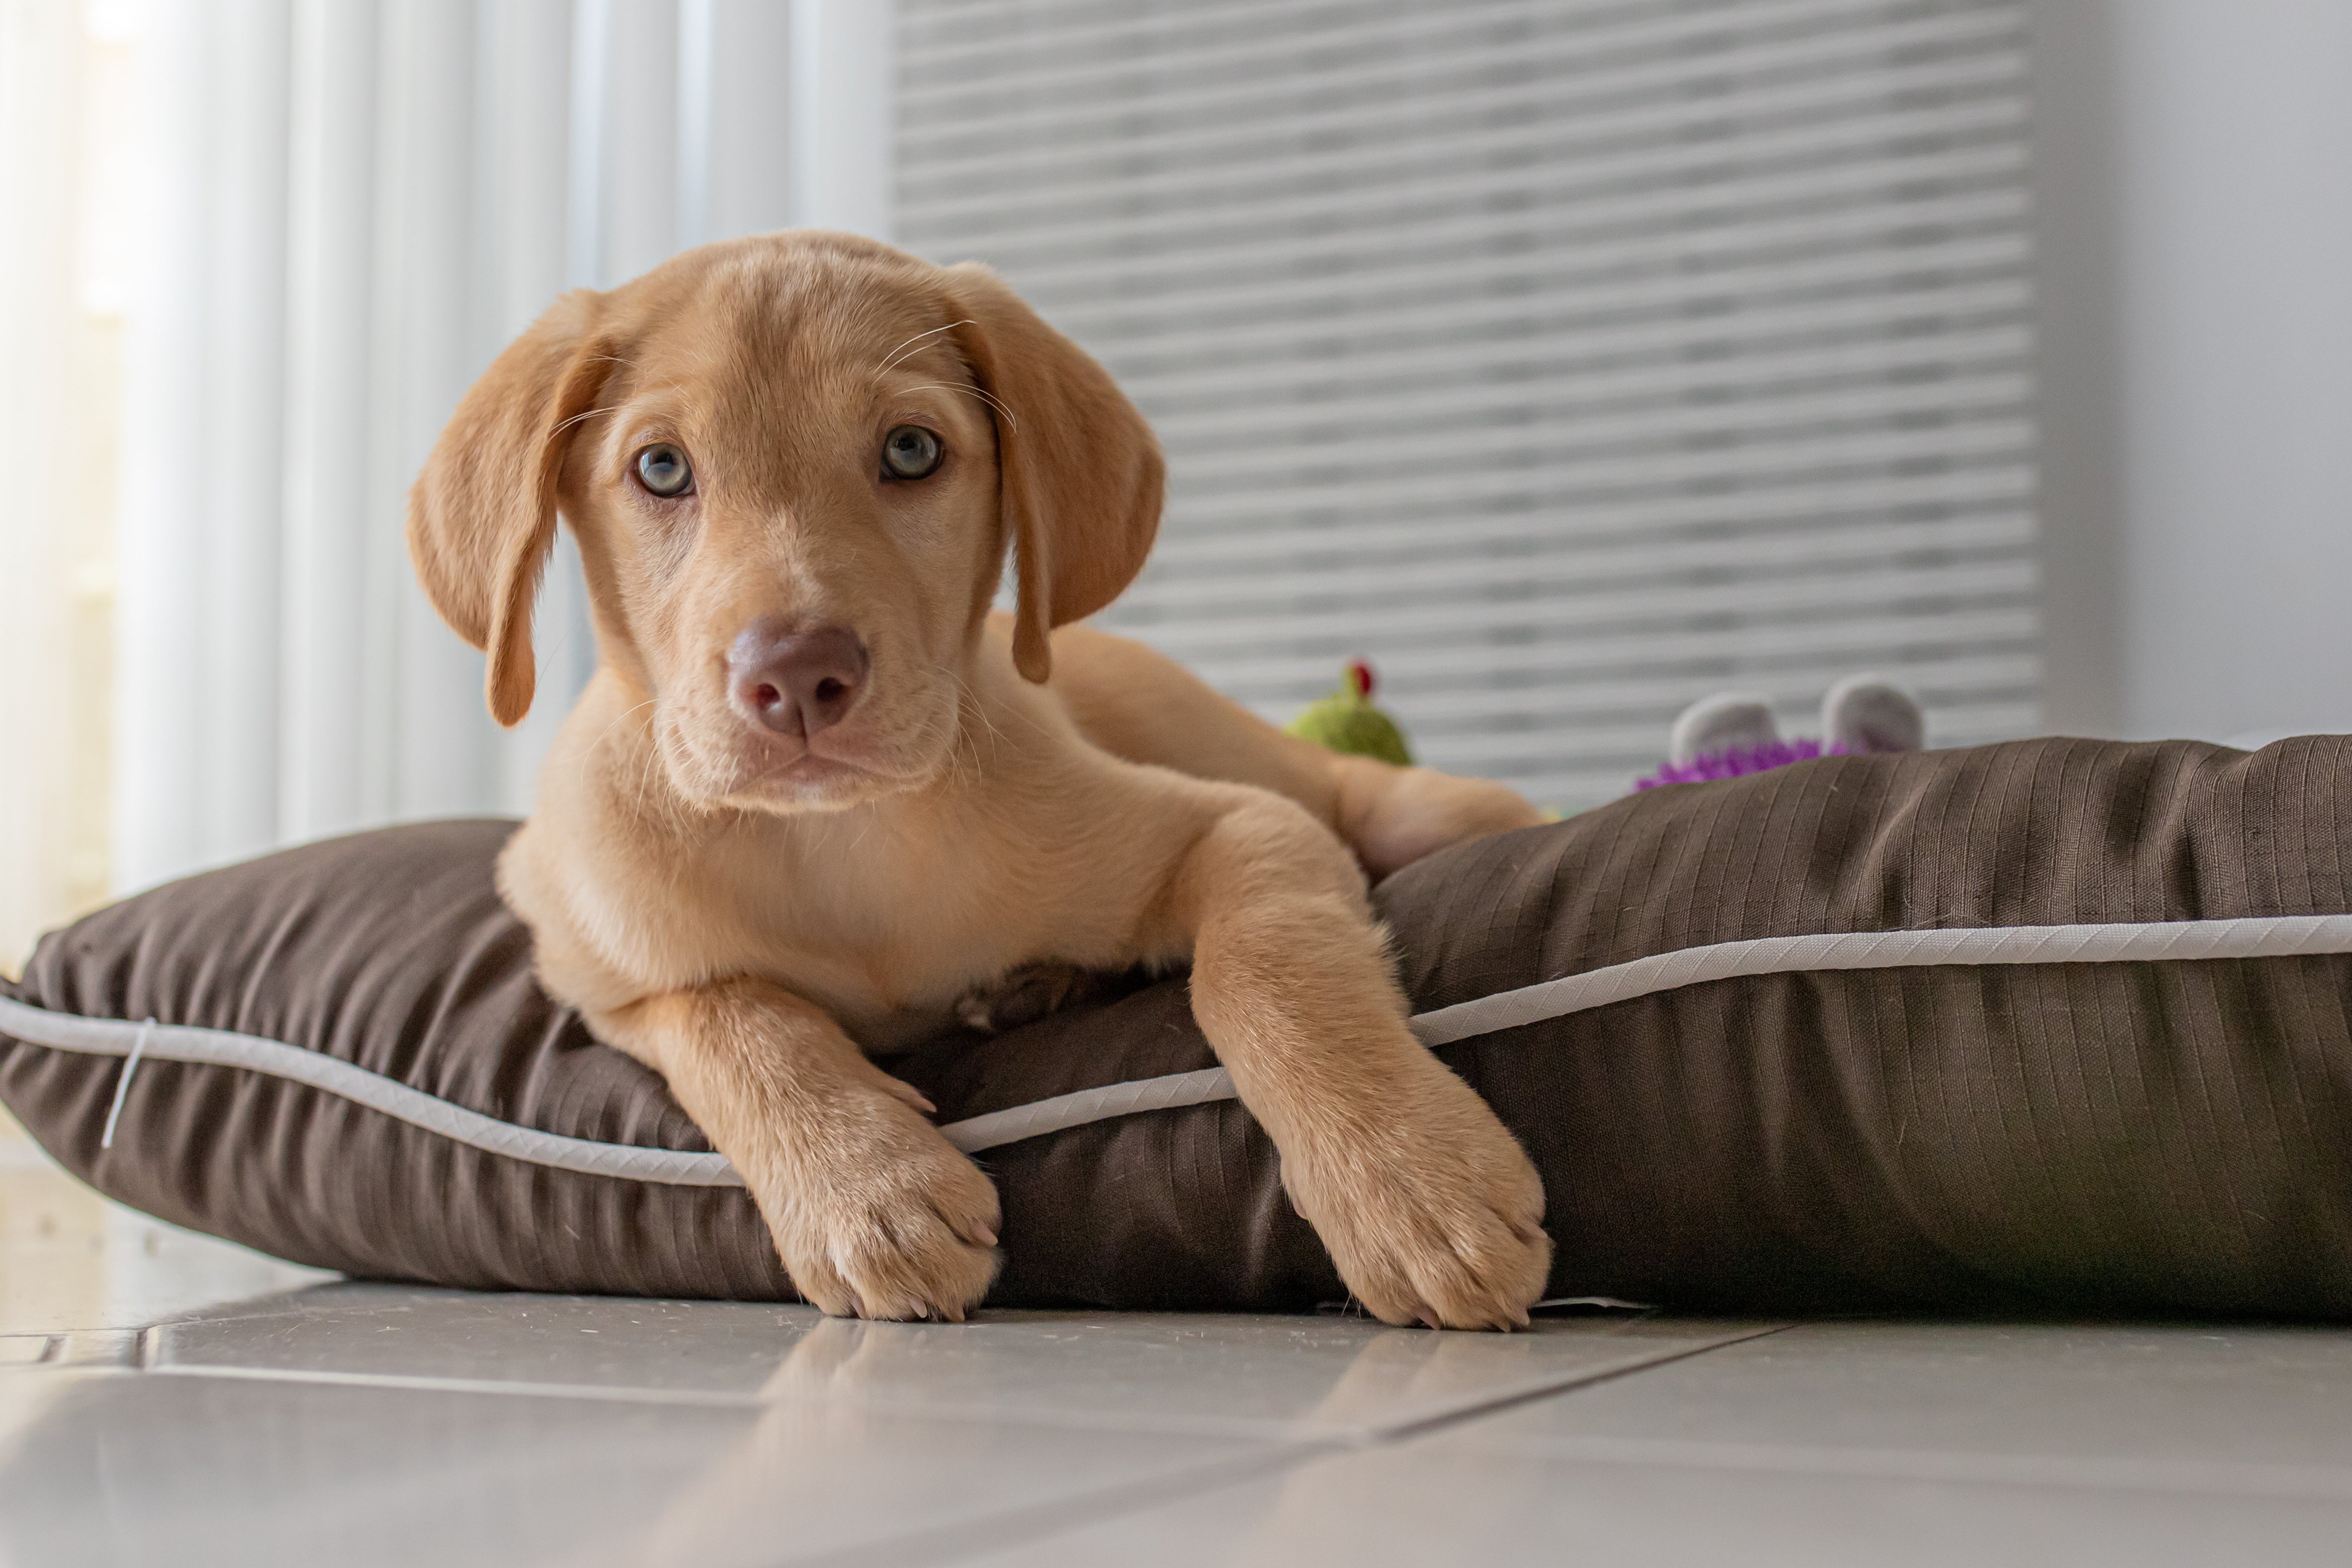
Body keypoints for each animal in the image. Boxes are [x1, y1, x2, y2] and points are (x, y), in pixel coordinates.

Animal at [414, 233, 1552, 1335]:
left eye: (911, 451)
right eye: (660, 466)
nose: (795, 676)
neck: (840, 841)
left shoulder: (1246, 824)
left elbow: (1267, 971)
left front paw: (1412, 1186)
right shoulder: (595, 956)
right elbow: (734, 1015)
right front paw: (866, 1192)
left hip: (1407, 805)